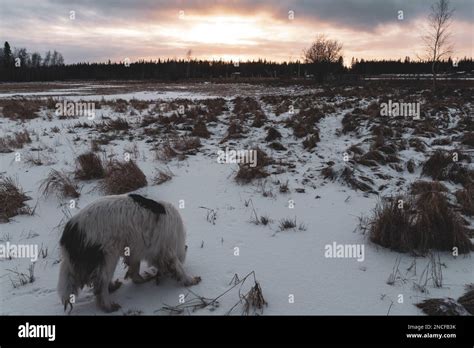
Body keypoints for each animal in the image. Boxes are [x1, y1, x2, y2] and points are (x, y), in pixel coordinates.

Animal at [56, 193, 201, 312]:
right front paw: (190, 280)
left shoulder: (134, 249)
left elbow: (134, 268)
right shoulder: (167, 249)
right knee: (101, 285)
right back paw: (109, 305)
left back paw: (113, 287)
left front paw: (140, 279)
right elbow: (179, 268)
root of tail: (71, 230)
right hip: (108, 256)